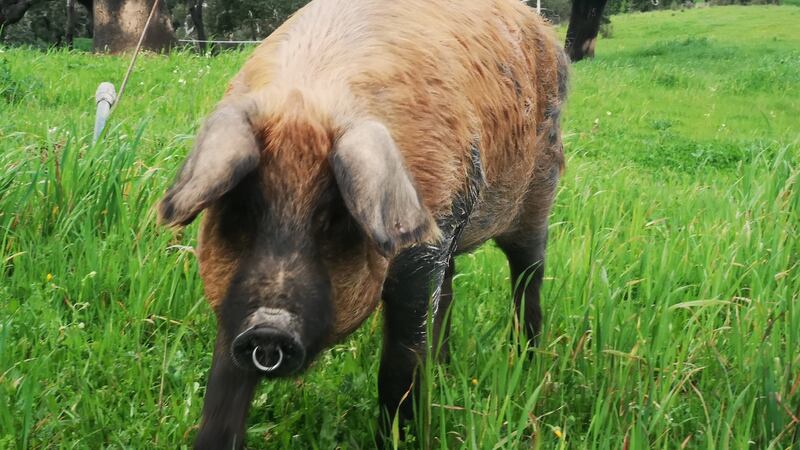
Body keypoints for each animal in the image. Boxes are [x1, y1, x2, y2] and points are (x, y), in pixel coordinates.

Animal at [158, 0, 569, 447]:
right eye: (242, 211)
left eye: (332, 219)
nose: (269, 325)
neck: (309, 100)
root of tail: (542, 28)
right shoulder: (232, 298)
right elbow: (223, 388)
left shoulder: (422, 253)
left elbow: (401, 362)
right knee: (450, 292)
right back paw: (444, 369)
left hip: (539, 192)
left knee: (528, 274)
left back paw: (528, 360)